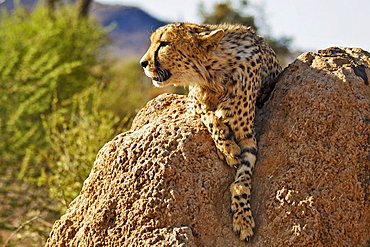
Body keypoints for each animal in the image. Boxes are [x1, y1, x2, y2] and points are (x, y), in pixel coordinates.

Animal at [140, 23, 282, 241]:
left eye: (164, 43)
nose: (143, 63)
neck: (213, 74)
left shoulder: (248, 137)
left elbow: (243, 179)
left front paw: (243, 218)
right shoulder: (193, 102)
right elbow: (210, 116)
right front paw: (227, 149)